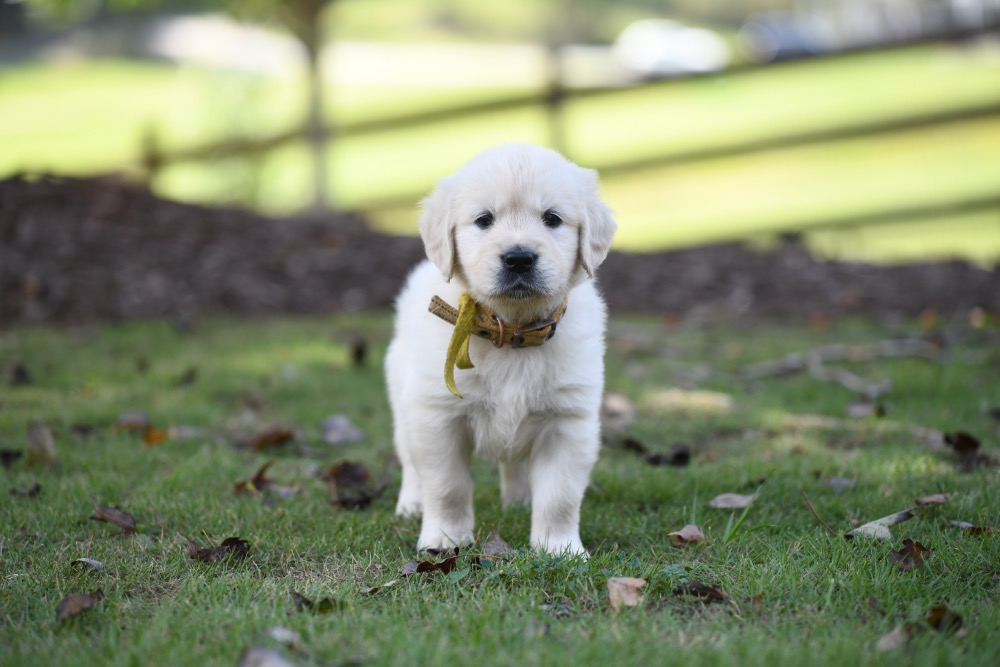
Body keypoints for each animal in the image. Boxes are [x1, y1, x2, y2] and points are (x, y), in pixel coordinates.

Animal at [384, 144, 612, 556]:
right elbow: (446, 486)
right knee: (410, 463)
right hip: (403, 404)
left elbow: (560, 496)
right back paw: (412, 504)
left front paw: (561, 550)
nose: (519, 258)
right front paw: (444, 540)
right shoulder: (438, 417)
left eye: (552, 218)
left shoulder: (567, 420)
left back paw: (520, 500)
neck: (512, 330)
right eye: (483, 220)